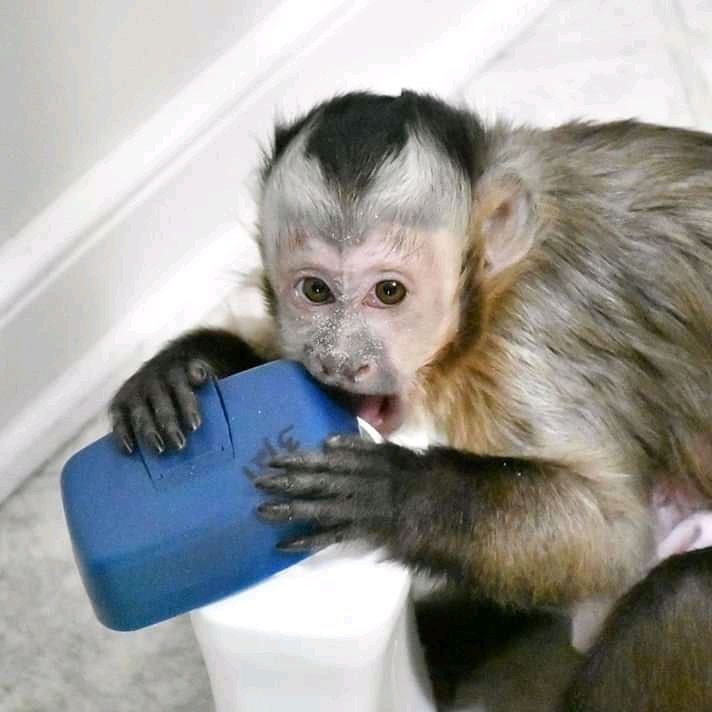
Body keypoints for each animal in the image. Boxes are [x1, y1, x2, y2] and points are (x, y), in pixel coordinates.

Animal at [109, 91, 712, 710]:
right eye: (315, 290)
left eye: (389, 292)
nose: (339, 361)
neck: (487, 297)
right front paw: (189, 366)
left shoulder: (531, 336)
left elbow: (611, 538)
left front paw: (394, 492)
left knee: (685, 594)